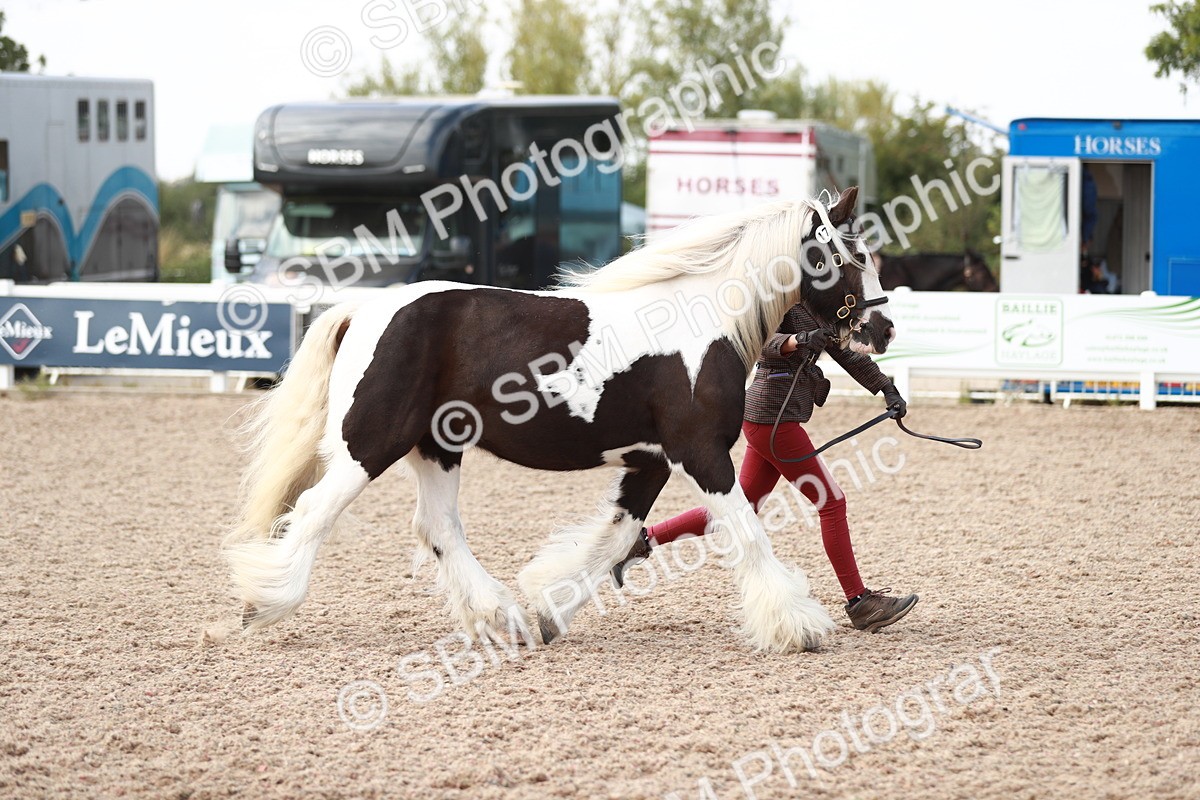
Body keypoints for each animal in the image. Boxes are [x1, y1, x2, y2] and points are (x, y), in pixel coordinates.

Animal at [223, 187, 896, 654]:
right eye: (850, 255)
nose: (884, 327)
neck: (702, 322)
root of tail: (363, 308)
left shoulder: (651, 461)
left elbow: (618, 537)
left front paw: (549, 612)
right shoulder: (700, 453)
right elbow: (748, 532)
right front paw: (798, 626)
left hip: (437, 447)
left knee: (438, 527)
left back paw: (504, 618)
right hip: (371, 442)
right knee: (315, 511)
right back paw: (262, 603)